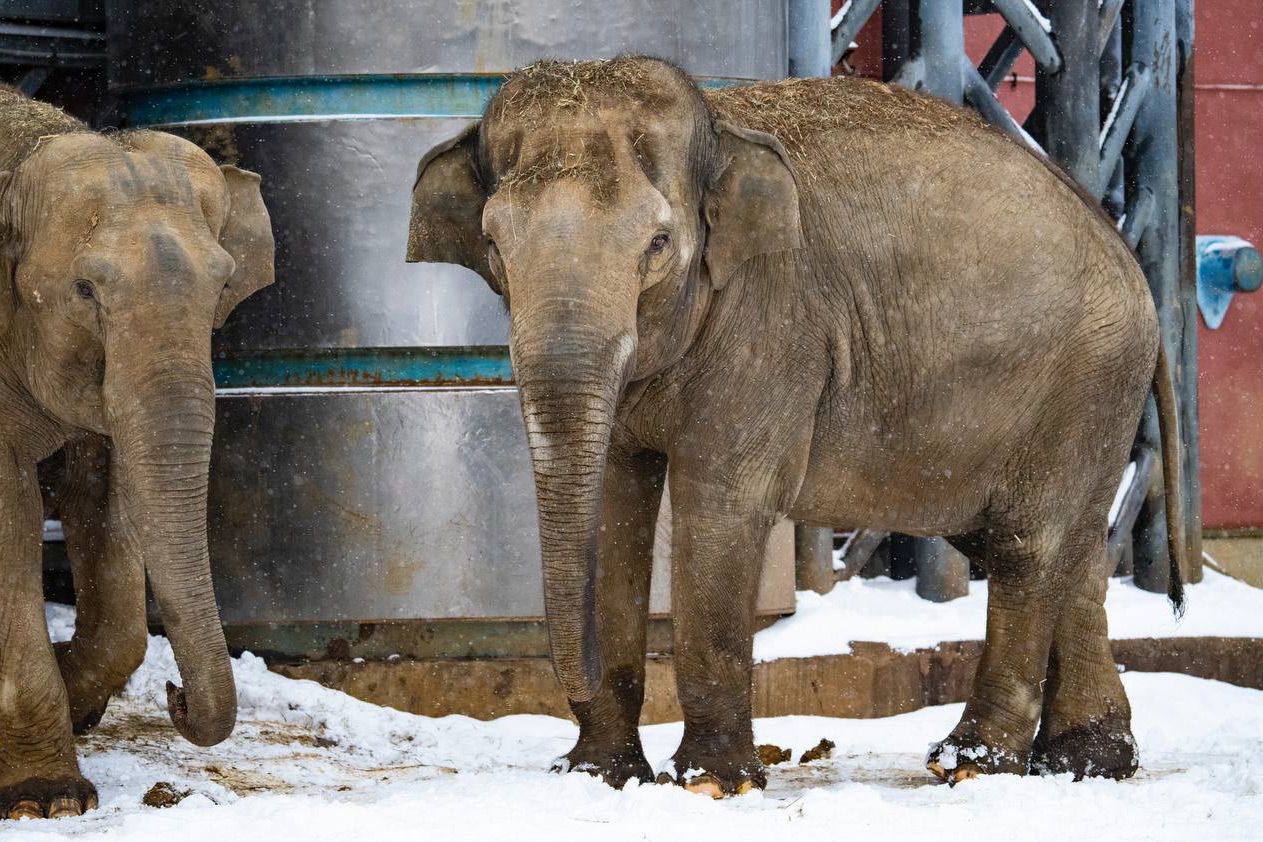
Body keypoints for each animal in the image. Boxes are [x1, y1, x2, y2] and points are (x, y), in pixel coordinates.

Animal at [0, 85, 275, 818]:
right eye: (84, 290)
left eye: (223, 285)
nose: (176, 696)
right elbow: (11, 514)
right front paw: (48, 801)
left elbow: (107, 494)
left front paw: (78, 705)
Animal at [409, 57, 1187, 797]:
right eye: (492, 244)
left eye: (657, 244)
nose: (576, 689)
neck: (717, 125)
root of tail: (1129, 258)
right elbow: (616, 503)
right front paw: (598, 776)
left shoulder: (771, 320)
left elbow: (723, 504)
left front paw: (710, 786)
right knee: (1063, 549)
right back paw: (1084, 763)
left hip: (1083, 381)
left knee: (1027, 547)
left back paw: (972, 765)